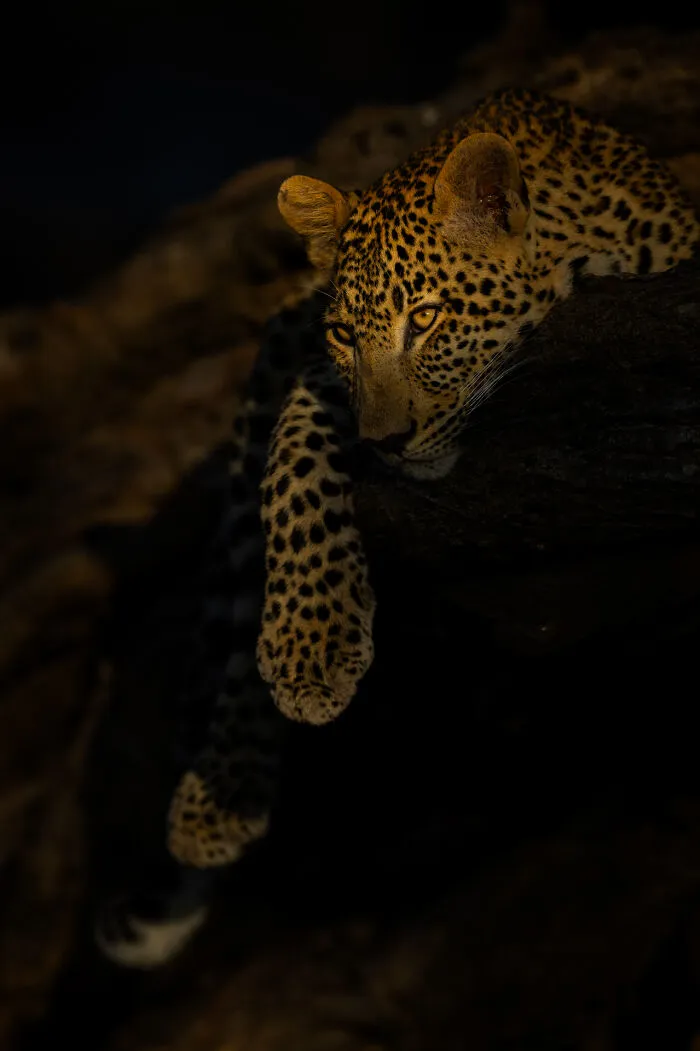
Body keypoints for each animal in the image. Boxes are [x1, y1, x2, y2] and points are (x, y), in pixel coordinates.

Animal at [95, 87, 699, 968]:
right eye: (347, 334)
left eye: (428, 318)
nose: (384, 442)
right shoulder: (314, 373)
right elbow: (292, 462)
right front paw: (310, 646)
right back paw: (220, 799)